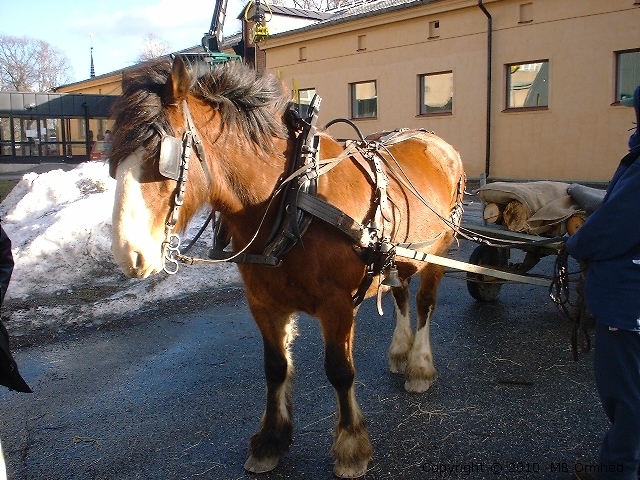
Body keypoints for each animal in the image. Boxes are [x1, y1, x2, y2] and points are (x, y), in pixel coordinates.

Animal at [107, 58, 462, 478]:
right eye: (113, 159)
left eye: (160, 155)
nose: (128, 254)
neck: (294, 199)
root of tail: (438, 142)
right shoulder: (264, 303)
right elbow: (275, 368)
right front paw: (270, 441)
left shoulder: (338, 305)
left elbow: (340, 371)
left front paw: (351, 447)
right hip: (400, 254)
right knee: (402, 291)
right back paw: (401, 351)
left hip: (438, 251)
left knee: (424, 304)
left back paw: (419, 366)